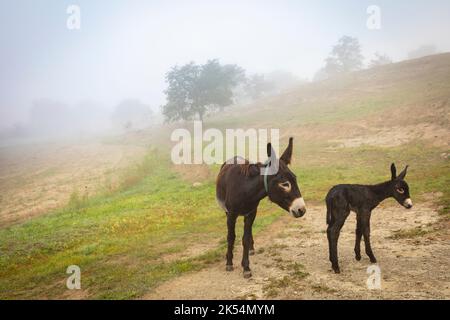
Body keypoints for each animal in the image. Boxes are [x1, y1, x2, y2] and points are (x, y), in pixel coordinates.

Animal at [216, 139, 308, 278]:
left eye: (295, 179)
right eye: (285, 184)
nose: (301, 210)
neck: (245, 188)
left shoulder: (251, 213)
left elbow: (245, 238)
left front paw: (246, 267)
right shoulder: (231, 214)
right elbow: (231, 237)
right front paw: (229, 262)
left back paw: (251, 249)